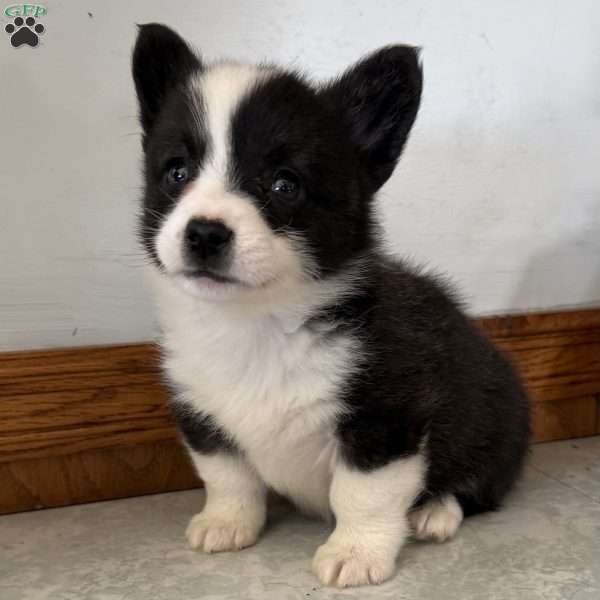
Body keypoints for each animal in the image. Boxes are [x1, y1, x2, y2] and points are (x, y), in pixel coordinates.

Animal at [132, 24, 528, 592]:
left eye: (284, 184)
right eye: (176, 172)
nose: (204, 233)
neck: (257, 321)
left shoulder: (385, 419)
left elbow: (362, 493)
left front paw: (355, 552)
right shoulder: (200, 410)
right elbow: (227, 476)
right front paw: (225, 523)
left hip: (493, 424)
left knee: (477, 485)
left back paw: (435, 512)